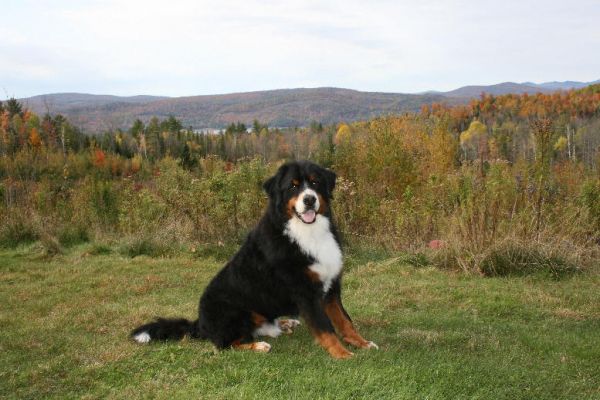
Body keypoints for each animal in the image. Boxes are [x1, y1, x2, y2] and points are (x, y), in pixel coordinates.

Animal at [132, 160, 378, 360]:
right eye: (293, 186)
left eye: (315, 183)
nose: (309, 200)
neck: (308, 232)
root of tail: (200, 323)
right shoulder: (306, 292)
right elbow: (326, 327)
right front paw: (343, 354)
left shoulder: (331, 287)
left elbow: (345, 320)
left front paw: (362, 343)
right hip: (233, 312)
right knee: (225, 344)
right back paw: (258, 346)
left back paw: (285, 323)